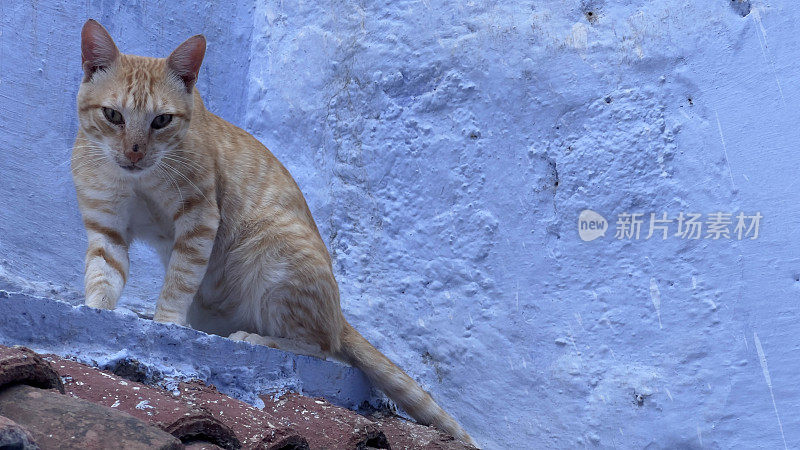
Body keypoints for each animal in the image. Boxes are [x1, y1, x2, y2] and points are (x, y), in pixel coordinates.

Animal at [72, 19, 472, 444]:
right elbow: (103, 275)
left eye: (161, 120)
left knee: (319, 346)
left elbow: (178, 281)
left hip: (273, 249)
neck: (139, 181)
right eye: (113, 115)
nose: (134, 152)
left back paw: (257, 338)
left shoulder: (200, 219)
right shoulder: (106, 226)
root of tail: (340, 315)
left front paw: (165, 324)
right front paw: (97, 310)